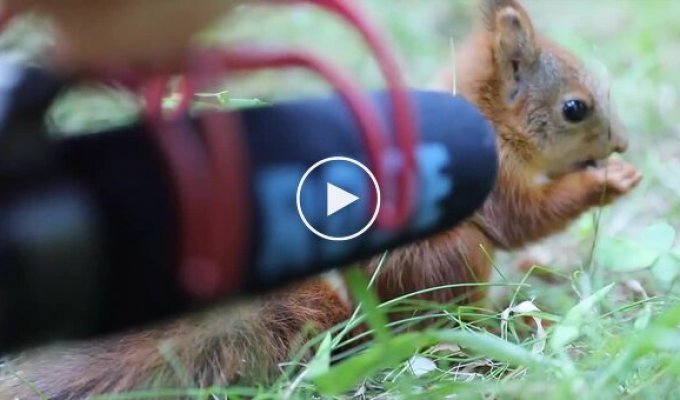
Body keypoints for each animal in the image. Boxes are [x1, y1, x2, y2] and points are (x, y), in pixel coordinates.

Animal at [0, 0, 642, 398]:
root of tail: (356, 314)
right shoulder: (490, 175)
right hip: (453, 253)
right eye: (575, 108)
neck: (492, 122)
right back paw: (499, 325)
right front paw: (609, 181)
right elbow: (521, 220)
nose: (621, 143)